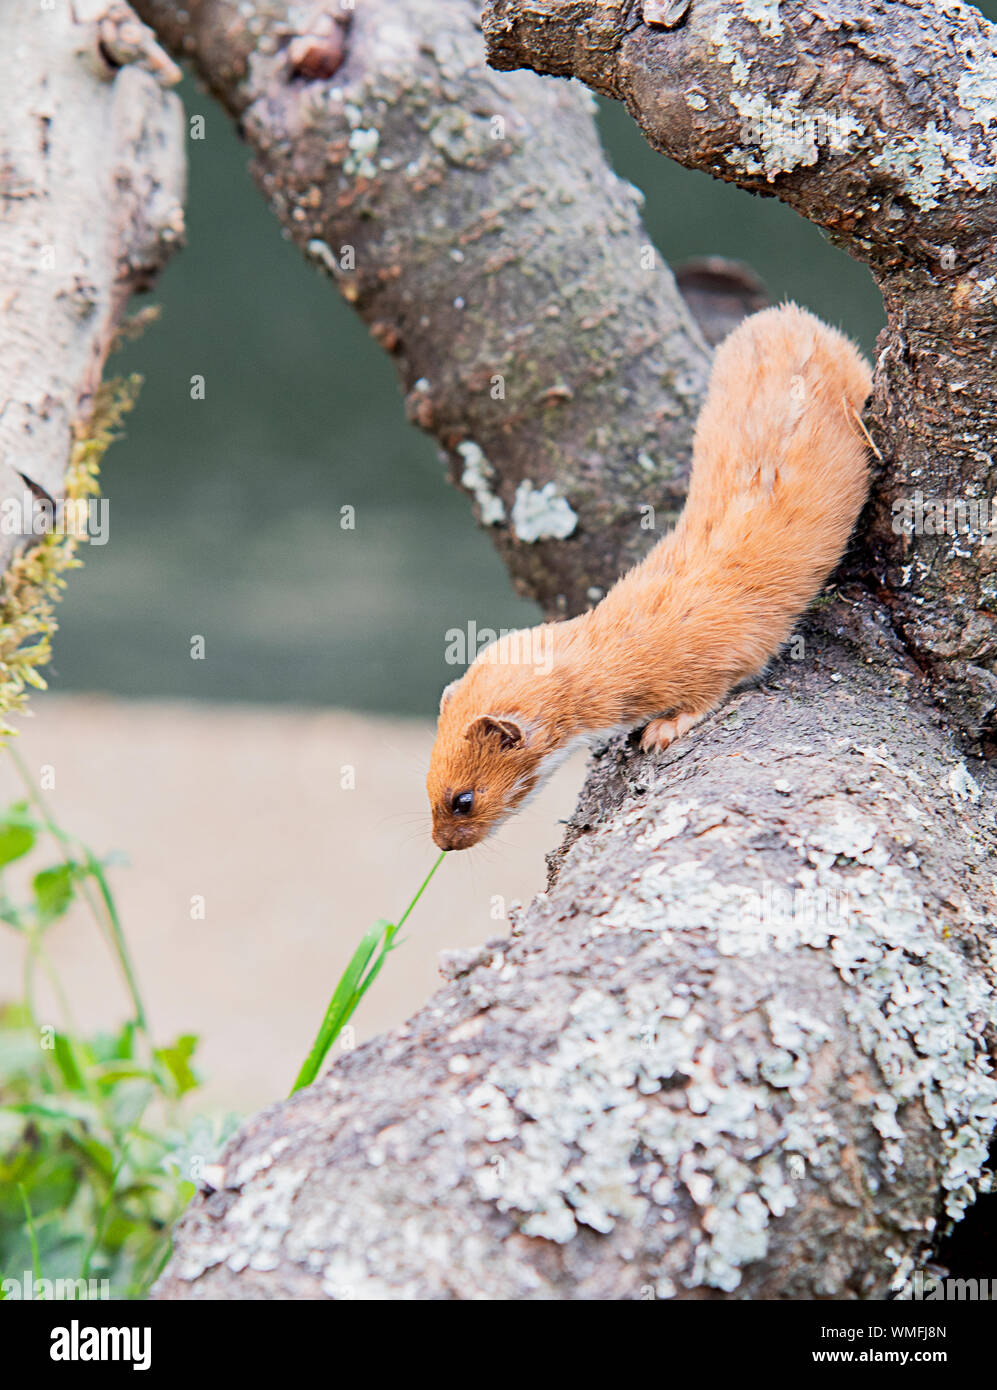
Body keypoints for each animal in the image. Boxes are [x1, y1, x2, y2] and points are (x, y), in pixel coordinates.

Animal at [428, 304, 873, 845]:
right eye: (426, 786)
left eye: (462, 799)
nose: (443, 844)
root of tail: (785, 314)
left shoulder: (721, 645)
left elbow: (718, 683)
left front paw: (664, 728)